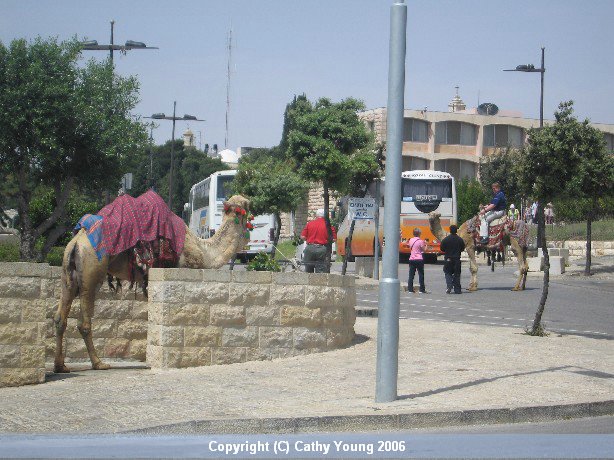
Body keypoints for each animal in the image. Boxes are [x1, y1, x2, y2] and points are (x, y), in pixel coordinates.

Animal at [54, 194, 251, 374]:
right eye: (247, 207)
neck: (204, 250)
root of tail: (76, 242)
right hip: (91, 272)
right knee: (84, 322)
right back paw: (99, 363)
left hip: (68, 272)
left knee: (60, 318)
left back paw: (60, 366)